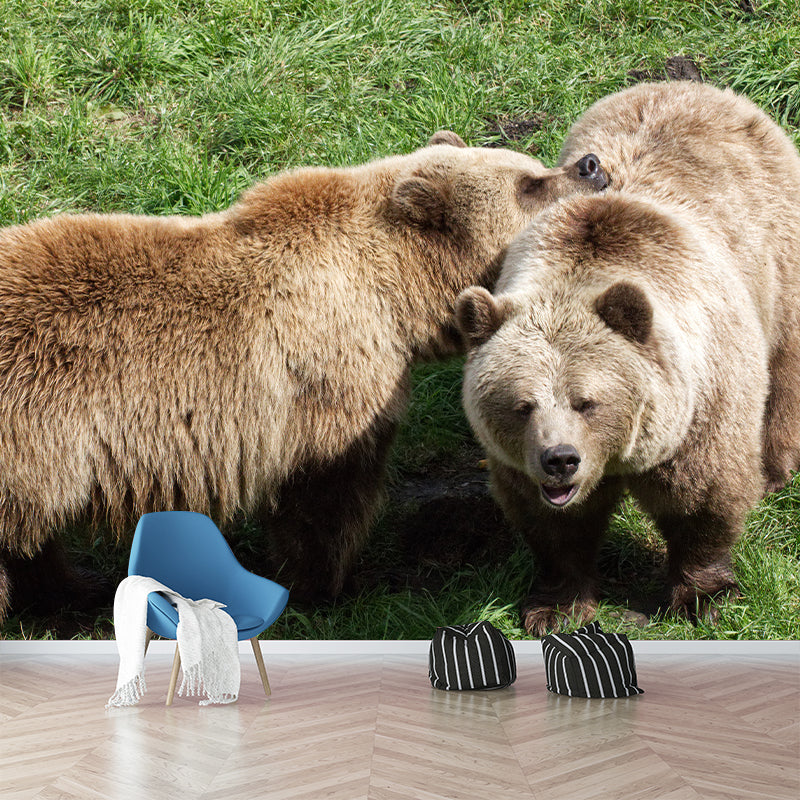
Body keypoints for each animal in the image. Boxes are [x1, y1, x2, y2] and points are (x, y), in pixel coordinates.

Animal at [0, 130, 609, 622]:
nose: (591, 166)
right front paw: (322, 586)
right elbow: (327, 490)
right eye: (528, 184)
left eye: (532, 164)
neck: (395, 293)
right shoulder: (329, 374)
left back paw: (72, 589)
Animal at [455, 82, 800, 636]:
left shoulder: (700, 400)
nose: (560, 460)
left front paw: (705, 596)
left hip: (776, 253)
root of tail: (690, 86)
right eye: (522, 405)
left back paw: (773, 466)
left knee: (784, 361)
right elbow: (552, 524)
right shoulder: (520, 461)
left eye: (587, 402)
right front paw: (555, 606)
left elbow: (703, 497)